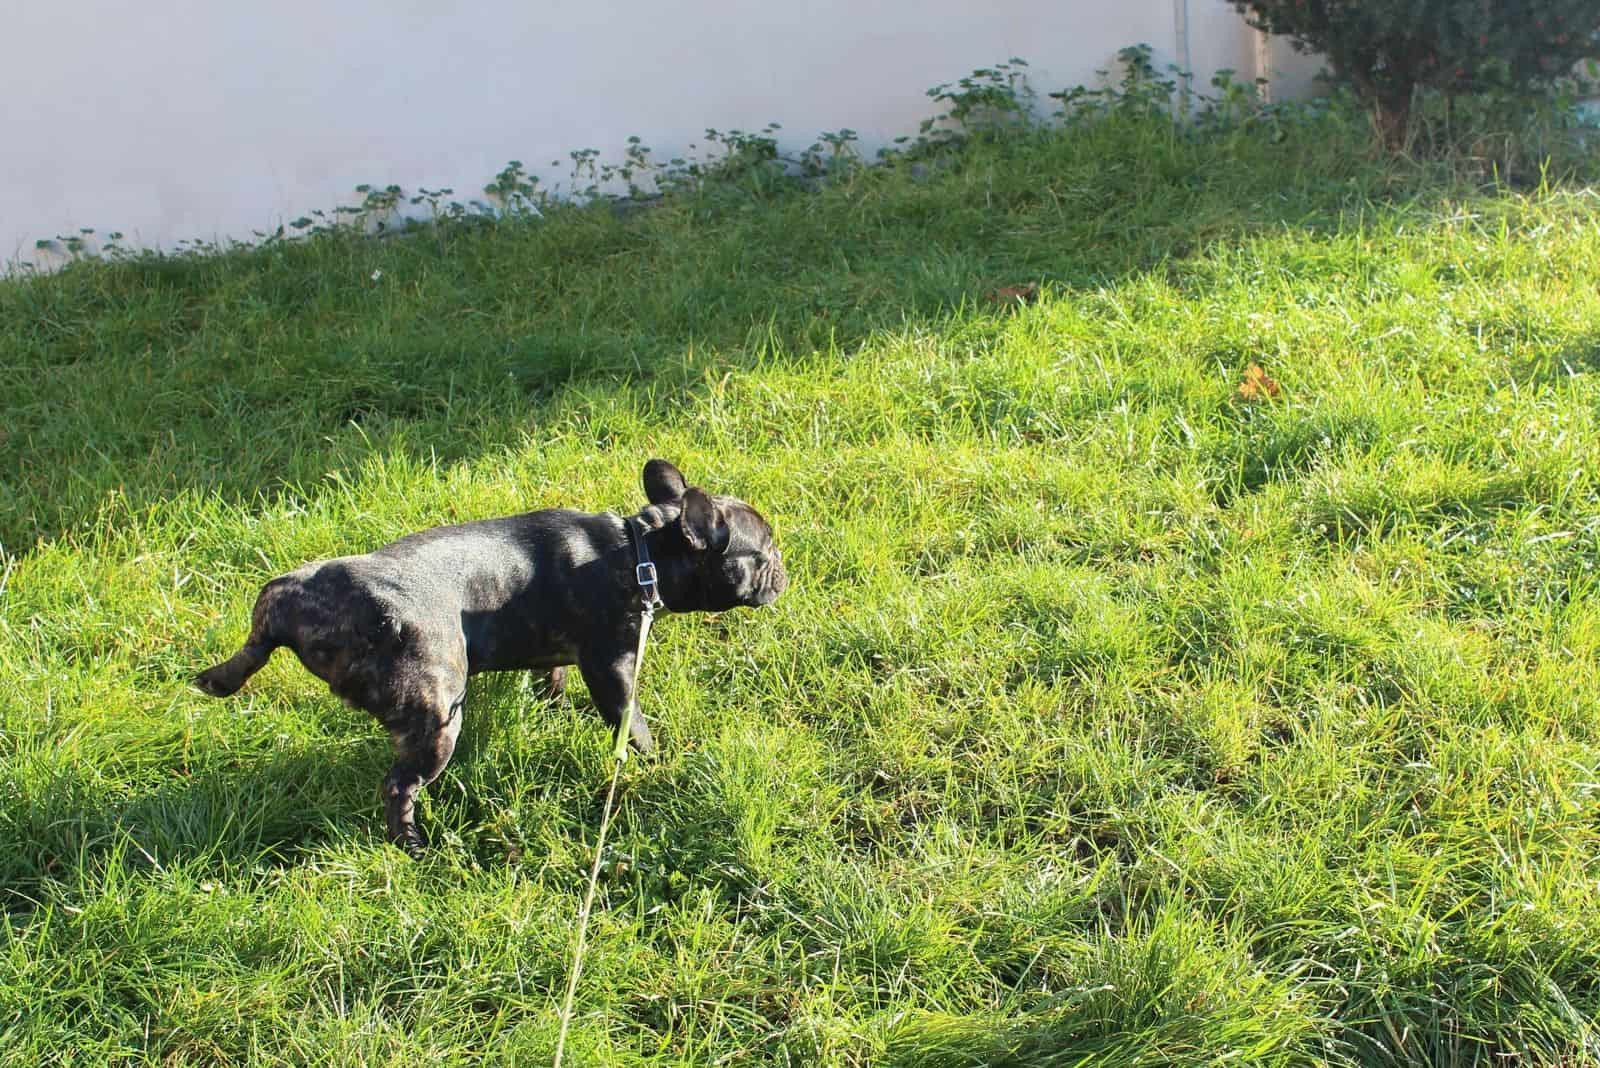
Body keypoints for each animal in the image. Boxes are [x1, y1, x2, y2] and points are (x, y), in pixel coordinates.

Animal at [196, 460, 784, 850]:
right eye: (764, 553)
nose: (784, 566)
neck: (641, 551)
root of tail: (301, 606)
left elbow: (553, 675)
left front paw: (553, 705)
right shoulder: (612, 666)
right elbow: (631, 723)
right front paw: (656, 760)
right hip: (436, 715)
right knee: (399, 785)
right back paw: (410, 844)